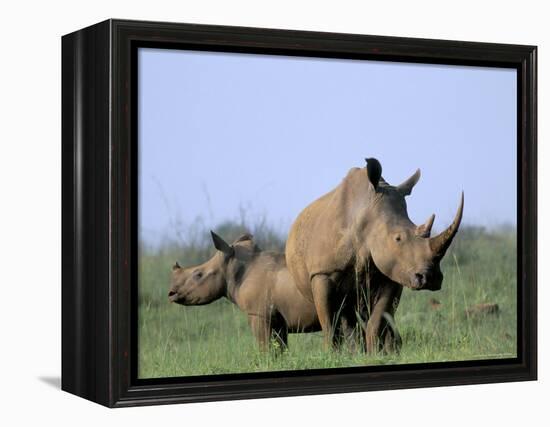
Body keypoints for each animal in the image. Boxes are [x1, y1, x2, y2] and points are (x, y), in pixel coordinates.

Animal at [168, 232, 324, 352]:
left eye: (198, 275)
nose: (171, 293)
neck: (233, 269)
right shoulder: (277, 320)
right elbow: (280, 349)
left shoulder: (259, 314)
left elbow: (266, 350)